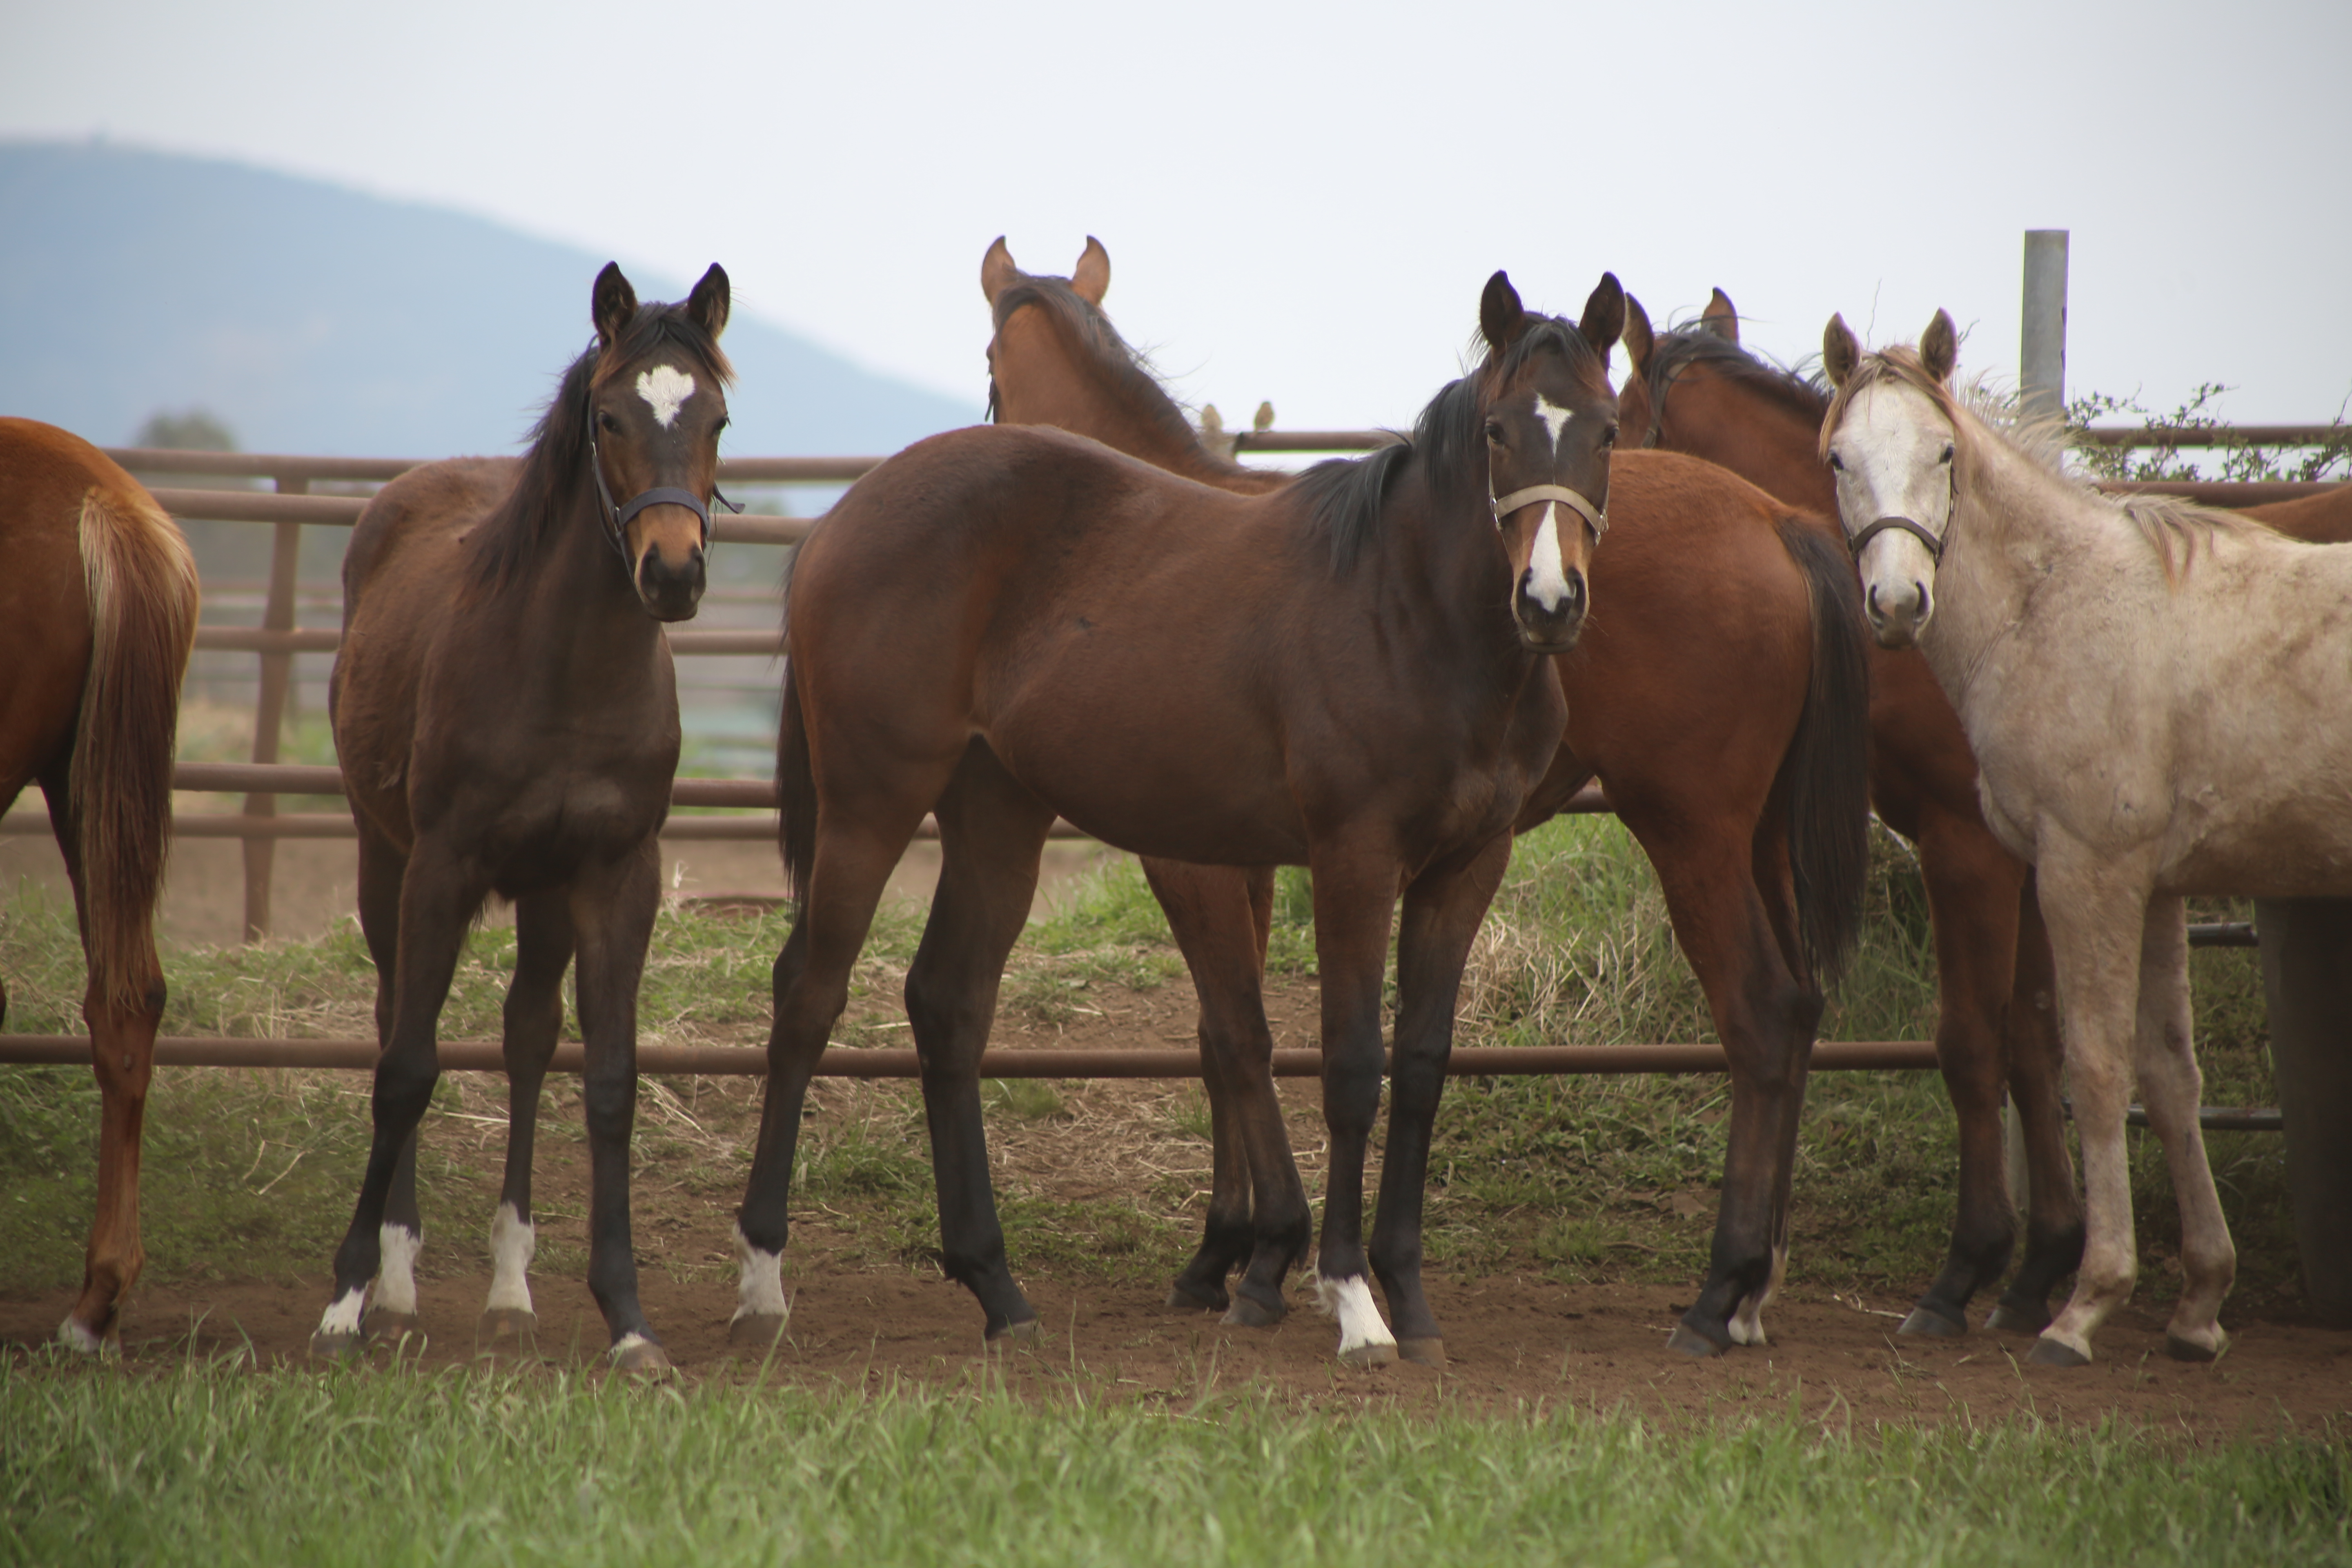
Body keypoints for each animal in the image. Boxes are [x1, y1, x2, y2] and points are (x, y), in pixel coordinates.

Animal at [313, 263, 729, 1363]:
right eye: (612, 416)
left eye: (715, 417)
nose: (673, 572)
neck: (563, 668)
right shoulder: (442, 866)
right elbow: (407, 1069)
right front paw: (347, 1295)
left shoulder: (616, 876)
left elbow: (610, 1078)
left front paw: (628, 1318)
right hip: (383, 858)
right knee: (396, 1021)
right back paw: (399, 1280)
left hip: (544, 895)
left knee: (528, 1035)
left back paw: (510, 1289)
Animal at [729, 267, 1618, 1363]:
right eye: (1497, 431)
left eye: (1608, 431)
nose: (1549, 600)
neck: (1409, 612)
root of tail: (842, 515)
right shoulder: (1346, 860)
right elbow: (1337, 1063)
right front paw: (1343, 1295)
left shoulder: (1467, 864)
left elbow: (1415, 1067)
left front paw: (1405, 1299)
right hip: (870, 804)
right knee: (808, 996)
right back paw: (763, 1278)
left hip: (996, 818)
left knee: (948, 1003)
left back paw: (996, 1286)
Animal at [973, 236, 1872, 1363]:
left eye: (988, 369)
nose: (1549, 600)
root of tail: (1774, 517)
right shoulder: (1252, 856)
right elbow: (1232, 1037)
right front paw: (1243, 1253)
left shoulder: (1199, 860)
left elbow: (1242, 1036)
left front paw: (1266, 1257)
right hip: (1756, 839)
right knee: (1797, 1012)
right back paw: (1753, 1290)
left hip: (1692, 834)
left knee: (1756, 1015)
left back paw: (1717, 1296)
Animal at [1627, 288, 2352, 1345]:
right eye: (1835, 457)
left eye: (1943, 454)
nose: (1896, 603)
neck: (2045, 607)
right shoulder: (2072, 868)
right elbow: (2085, 1053)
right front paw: (2054, 1272)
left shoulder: (2005, 855)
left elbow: (2002, 1046)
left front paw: (1998, 1277)